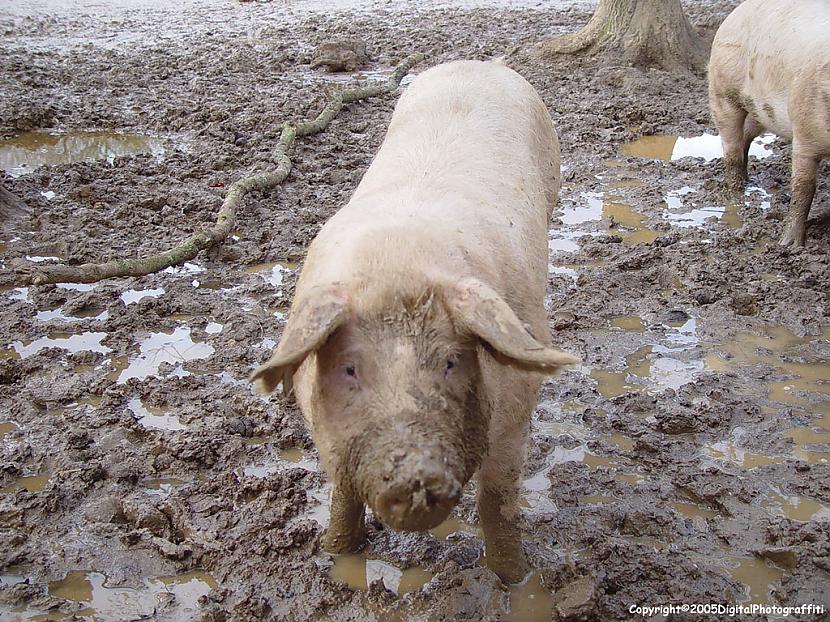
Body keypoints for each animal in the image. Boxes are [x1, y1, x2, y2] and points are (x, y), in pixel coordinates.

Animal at [250, 59, 580, 584]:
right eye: (349, 368)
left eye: (450, 362)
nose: (415, 476)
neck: (397, 264)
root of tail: (481, 63)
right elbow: (342, 496)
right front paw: (337, 553)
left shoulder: (516, 412)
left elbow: (497, 503)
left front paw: (514, 579)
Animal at [708, 0, 830, 249]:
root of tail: (736, 12)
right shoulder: (804, 133)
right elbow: (803, 188)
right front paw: (789, 245)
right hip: (722, 90)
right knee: (730, 147)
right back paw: (738, 194)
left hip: (761, 111)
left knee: (746, 137)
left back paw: (748, 180)